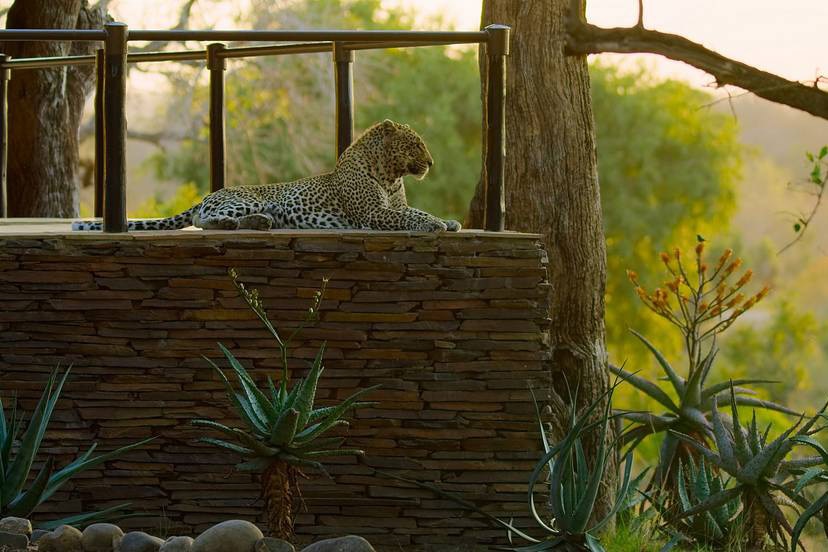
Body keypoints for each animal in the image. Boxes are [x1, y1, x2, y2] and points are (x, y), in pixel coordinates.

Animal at [72, 118, 462, 233]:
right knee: (201, 221)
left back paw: (261, 223)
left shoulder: (389, 206)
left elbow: (415, 210)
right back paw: (235, 223)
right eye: (416, 145)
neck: (390, 174)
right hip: (242, 200)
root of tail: (210, 193)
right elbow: (409, 216)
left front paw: (448, 220)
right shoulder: (372, 213)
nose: (431, 163)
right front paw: (434, 224)